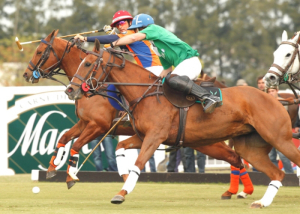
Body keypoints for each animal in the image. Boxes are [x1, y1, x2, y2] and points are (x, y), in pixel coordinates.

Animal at [24, 30, 253, 197]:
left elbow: (78, 144)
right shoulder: (85, 122)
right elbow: (64, 137)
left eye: (40, 51)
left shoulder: (99, 125)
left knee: (237, 157)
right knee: (235, 158)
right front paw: (53, 168)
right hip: (203, 141)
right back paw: (238, 191)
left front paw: (71, 176)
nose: (26, 74)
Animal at [65, 39, 300, 207]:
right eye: (80, 62)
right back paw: (259, 201)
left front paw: (121, 193)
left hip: (279, 138)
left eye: (87, 63)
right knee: (269, 170)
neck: (143, 93)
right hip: (248, 147)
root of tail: (275, 98)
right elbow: (121, 147)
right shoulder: (144, 136)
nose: (70, 89)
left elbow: (138, 164)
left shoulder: (153, 136)